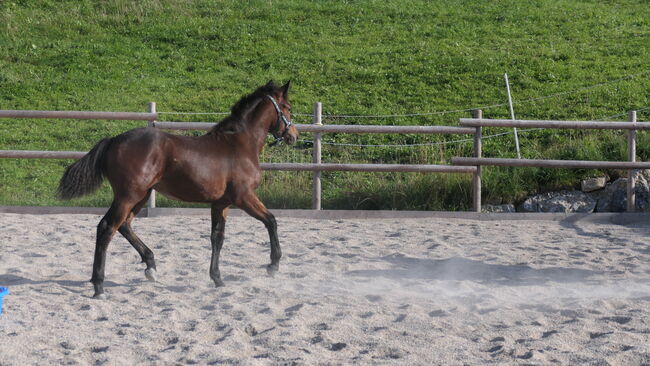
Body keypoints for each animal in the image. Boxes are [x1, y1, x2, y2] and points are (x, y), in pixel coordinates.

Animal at [57, 80, 298, 298]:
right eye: (287, 107)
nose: (293, 135)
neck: (238, 145)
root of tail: (114, 140)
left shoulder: (221, 203)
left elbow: (217, 238)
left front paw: (218, 279)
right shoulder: (244, 197)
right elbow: (271, 221)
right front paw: (273, 266)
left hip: (141, 195)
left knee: (124, 225)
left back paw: (151, 267)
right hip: (128, 195)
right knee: (107, 227)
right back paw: (99, 286)